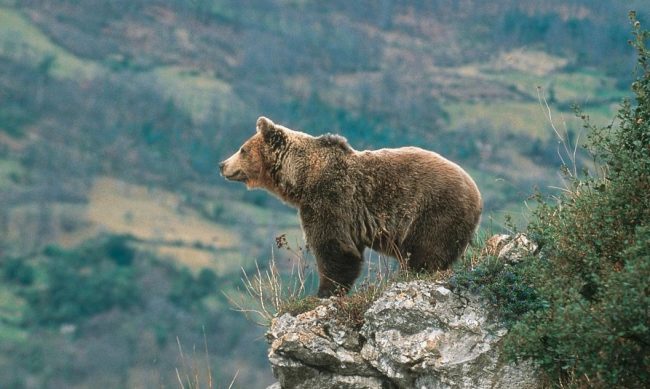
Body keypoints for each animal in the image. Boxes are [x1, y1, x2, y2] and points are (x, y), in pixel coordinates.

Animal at [220, 116, 478, 296]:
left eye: (242, 149)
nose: (222, 164)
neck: (302, 178)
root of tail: (476, 192)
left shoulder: (330, 199)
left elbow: (334, 248)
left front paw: (323, 292)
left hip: (434, 211)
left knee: (427, 253)